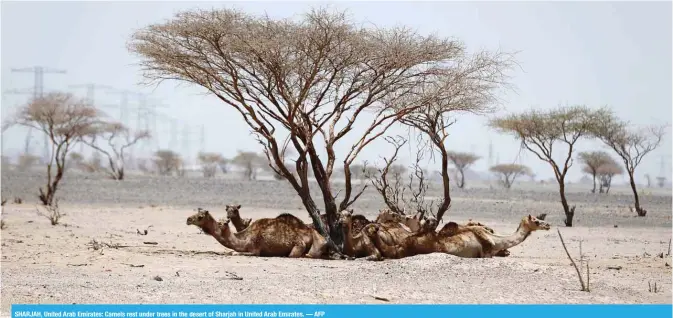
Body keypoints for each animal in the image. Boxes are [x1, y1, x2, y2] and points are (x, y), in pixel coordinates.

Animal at [185, 209, 330, 258]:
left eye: (200, 217)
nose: (188, 219)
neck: (244, 238)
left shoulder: (255, 249)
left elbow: (235, 252)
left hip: (304, 245)